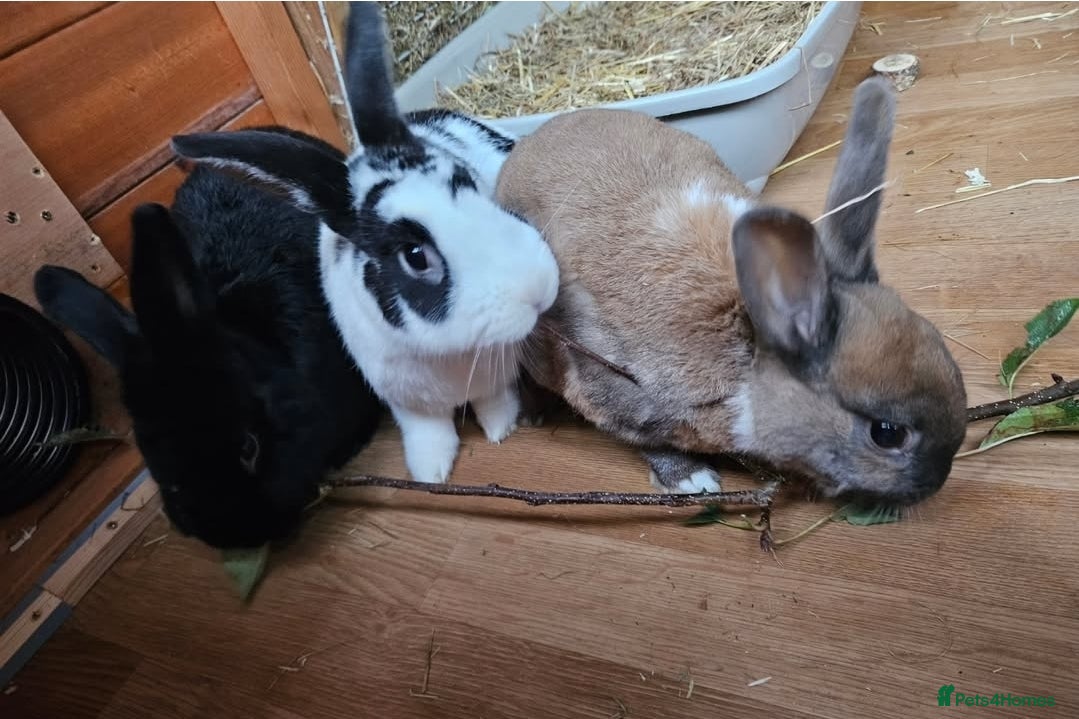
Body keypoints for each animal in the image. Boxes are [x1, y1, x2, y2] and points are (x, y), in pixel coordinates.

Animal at [168, 1, 559, 485]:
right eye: (415, 257)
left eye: (469, 184)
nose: (538, 291)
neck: (448, 357)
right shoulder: (404, 401)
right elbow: (427, 432)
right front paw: (430, 474)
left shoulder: (494, 378)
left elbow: (495, 402)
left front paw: (500, 431)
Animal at [494, 76, 968, 507]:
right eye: (887, 434)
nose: (938, 480)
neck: (749, 342)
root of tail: (525, 146)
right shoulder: (613, 394)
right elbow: (649, 444)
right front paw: (694, 481)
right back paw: (532, 413)